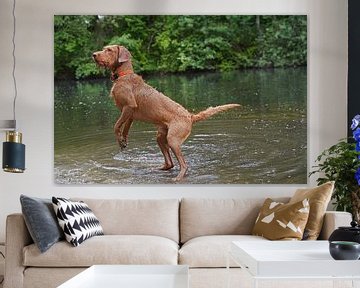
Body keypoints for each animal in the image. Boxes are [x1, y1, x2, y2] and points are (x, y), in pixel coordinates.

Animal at [93, 44, 240, 180]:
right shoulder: (130, 114)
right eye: (104, 48)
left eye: (109, 50)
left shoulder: (128, 106)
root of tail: (190, 116)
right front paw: (123, 142)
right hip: (160, 136)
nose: (93, 54)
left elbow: (116, 126)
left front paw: (120, 140)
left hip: (173, 139)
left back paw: (177, 178)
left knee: (184, 164)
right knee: (170, 163)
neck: (123, 75)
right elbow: (125, 129)